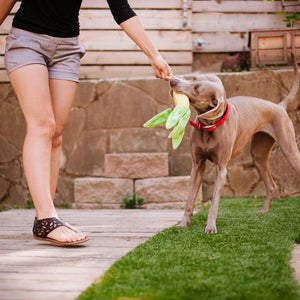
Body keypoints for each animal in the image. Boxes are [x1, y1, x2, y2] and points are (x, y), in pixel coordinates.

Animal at [171, 52, 300, 233]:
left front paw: (210, 226)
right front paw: (183, 224)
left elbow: (214, 202)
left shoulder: (221, 168)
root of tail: (279, 106)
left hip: (290, 151)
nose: (173, 80)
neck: (209, 126)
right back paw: (264, 211)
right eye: (193, 78)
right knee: (271, 185)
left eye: (197, 90)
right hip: (258, 155)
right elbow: (190, 199)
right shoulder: (197, 165)